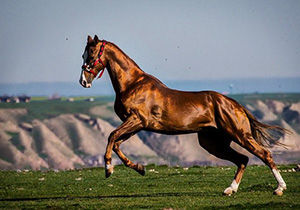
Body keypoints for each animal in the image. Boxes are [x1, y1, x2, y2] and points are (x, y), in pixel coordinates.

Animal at [78, 35, 288, 196]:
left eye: (92, 54)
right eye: (83, 54)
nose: (83, 81)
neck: (133, 84)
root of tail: (235, 104)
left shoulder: (137, 120)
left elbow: (111, 136)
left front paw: (108, 169)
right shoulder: (136, 125)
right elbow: (117, 144)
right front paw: (139, 168)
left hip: (239, 134)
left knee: (264, 154)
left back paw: (279, 188)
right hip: (212, 143)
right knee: (243, 159)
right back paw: (230, 189)